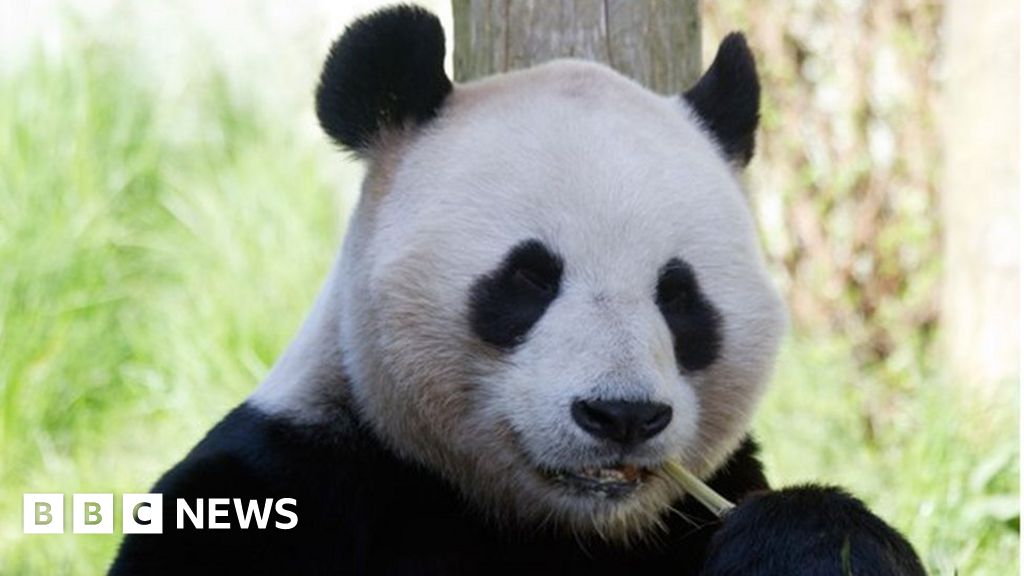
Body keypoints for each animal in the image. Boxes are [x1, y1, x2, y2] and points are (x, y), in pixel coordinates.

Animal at [112, 5, 929, 573]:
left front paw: (809, 540)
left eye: (678, 296)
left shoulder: (698, 503)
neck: (556, 526)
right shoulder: (288, 486)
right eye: (529, 279)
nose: (622, 415)